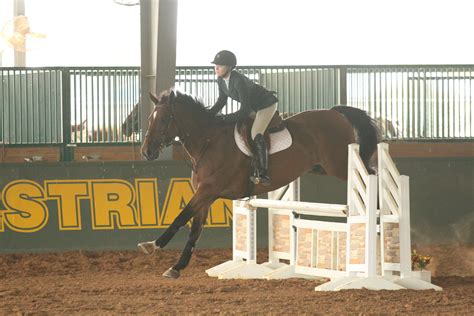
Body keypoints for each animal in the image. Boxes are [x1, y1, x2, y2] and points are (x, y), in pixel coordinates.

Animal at [139, 89, 380, 278]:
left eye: (164, 119)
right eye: (149, 118)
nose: (146, 152)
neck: (208, 142)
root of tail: (335, 112)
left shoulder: (208, 190)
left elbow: (180, 218)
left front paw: (152, 245)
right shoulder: (205, 195)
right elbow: (194, 230)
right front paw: (176, 267)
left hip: (341, 166)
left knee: (371, 176)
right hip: (321, 167)